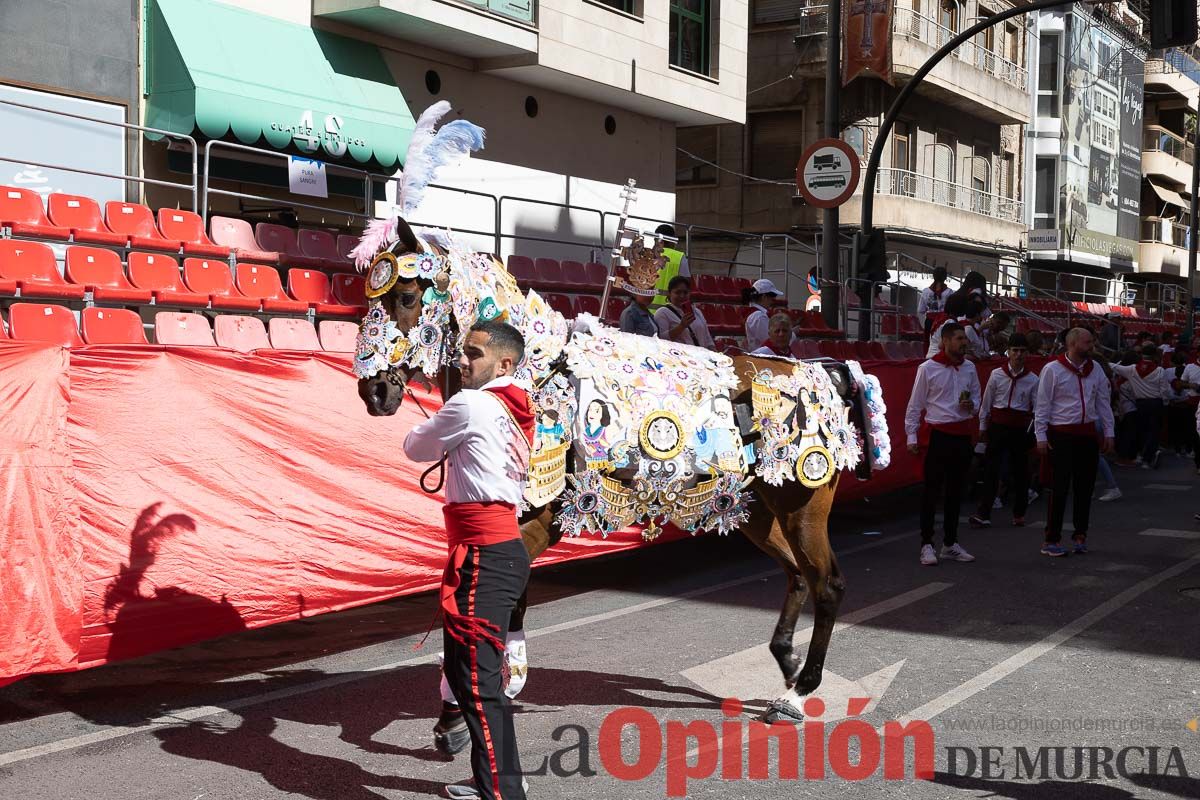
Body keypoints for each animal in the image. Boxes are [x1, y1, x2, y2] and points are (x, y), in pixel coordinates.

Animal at [350, 100, 892, 753]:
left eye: (406, 296)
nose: (374, 391)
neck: (536, 372)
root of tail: (824, 372)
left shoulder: (534, 524)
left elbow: (499, 609)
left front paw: (462, 713)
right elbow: (497, 606)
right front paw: (476, 699)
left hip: (804, 504)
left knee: (827, 583)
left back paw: (801, 687)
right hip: (758, 511)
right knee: (796, 575)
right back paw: (785, 662)